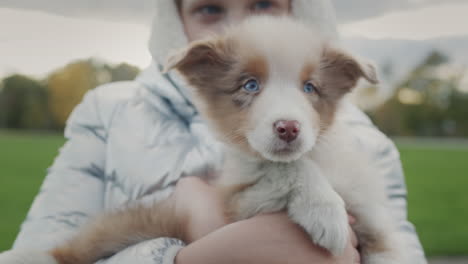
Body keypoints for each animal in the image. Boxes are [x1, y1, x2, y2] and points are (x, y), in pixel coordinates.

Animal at [0, 17, 406, 264]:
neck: (321, 157)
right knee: (68, 249)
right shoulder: (238, 204)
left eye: (310, 88)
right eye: (250, 85)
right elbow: (289, 169)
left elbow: (386, 243)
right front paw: (325, 210)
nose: (288, 128)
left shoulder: (371, 214)